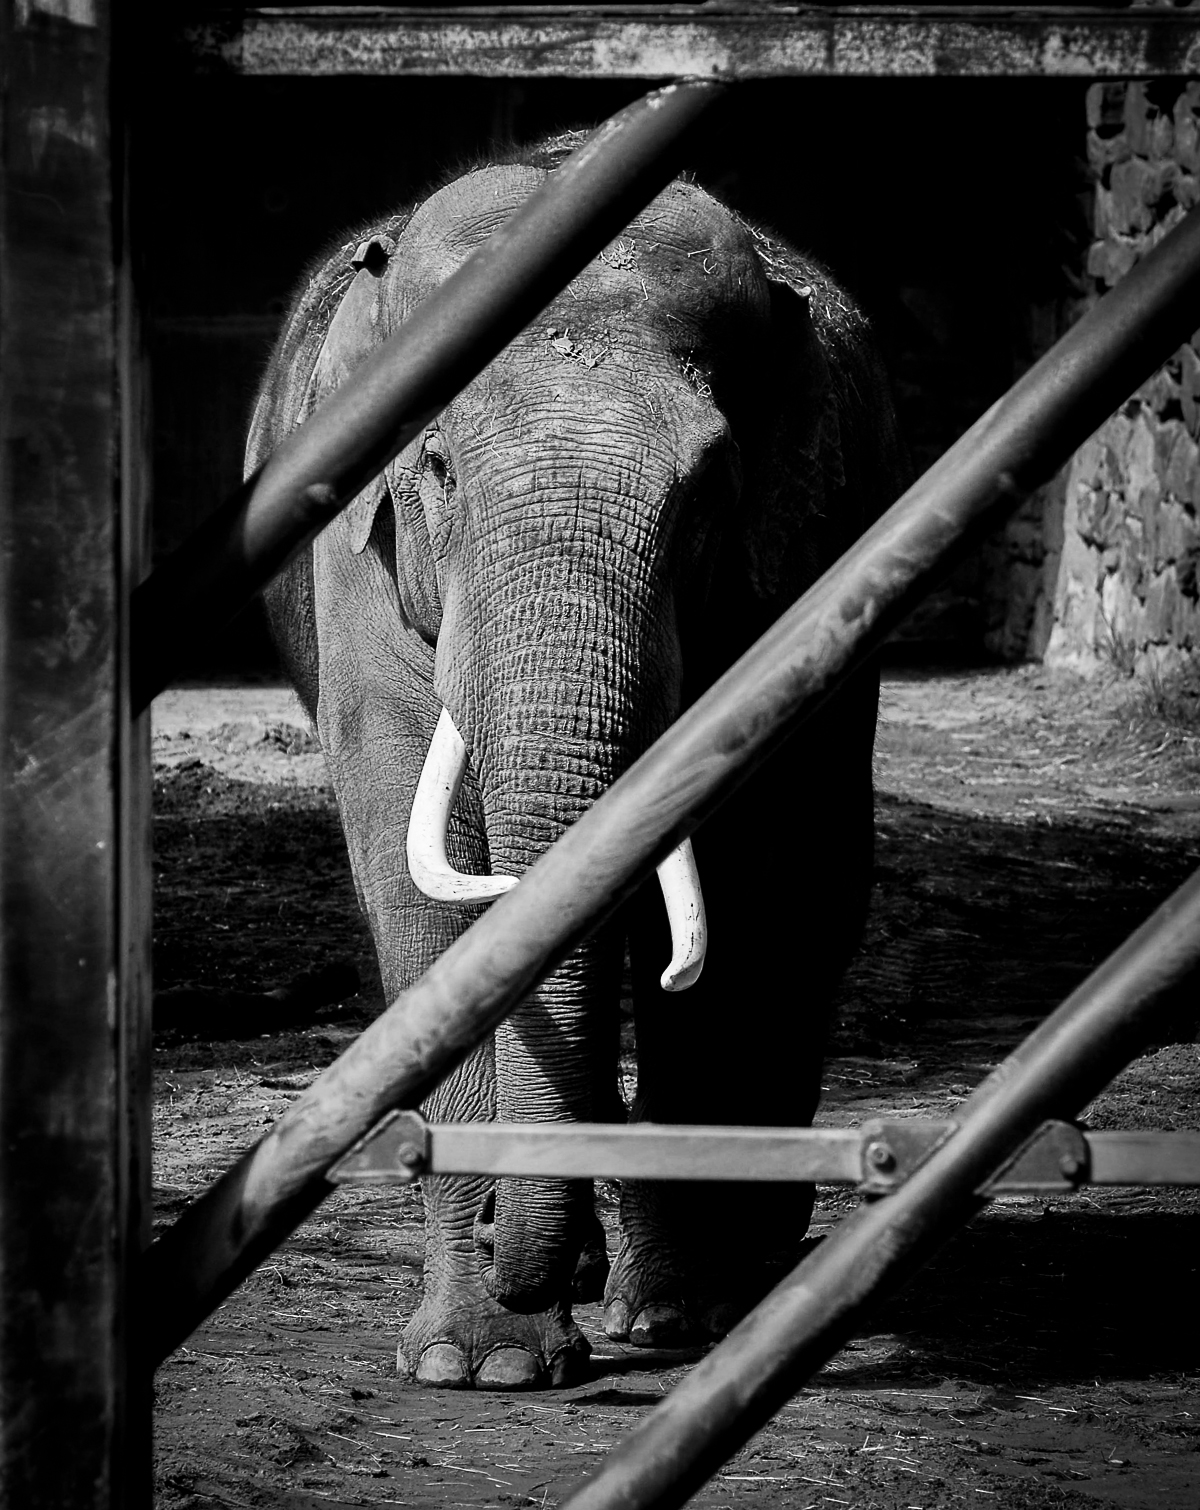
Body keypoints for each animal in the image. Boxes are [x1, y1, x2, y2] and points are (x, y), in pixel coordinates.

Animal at [247, 132, 907, 1391]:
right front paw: (480, 1363)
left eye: (707, 491)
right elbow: (422, 893)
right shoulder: (356, 571)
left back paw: (720, 1267)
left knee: (814, 886)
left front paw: (678, 1323)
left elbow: (740, 875)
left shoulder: (794, 556)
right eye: (439, 467)